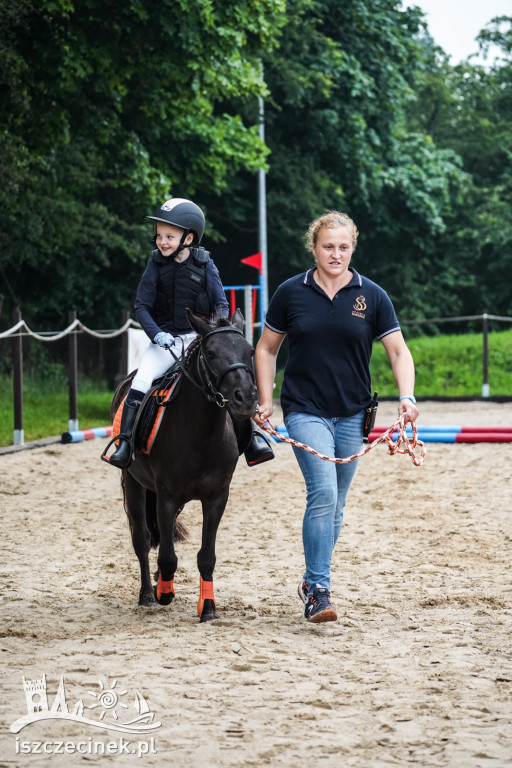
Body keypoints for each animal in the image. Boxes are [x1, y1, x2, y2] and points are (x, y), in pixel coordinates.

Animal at [110, 308, 258, 620]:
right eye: (211, 353)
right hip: (134, 482)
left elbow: (206, 556)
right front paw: (163, 594)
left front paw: (209, 607)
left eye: (250, 351)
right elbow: (167, 556)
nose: (246, 399)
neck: (203, 434)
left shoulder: (216, 498)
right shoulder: (166, 497)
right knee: (142, 539)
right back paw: (148, 594)